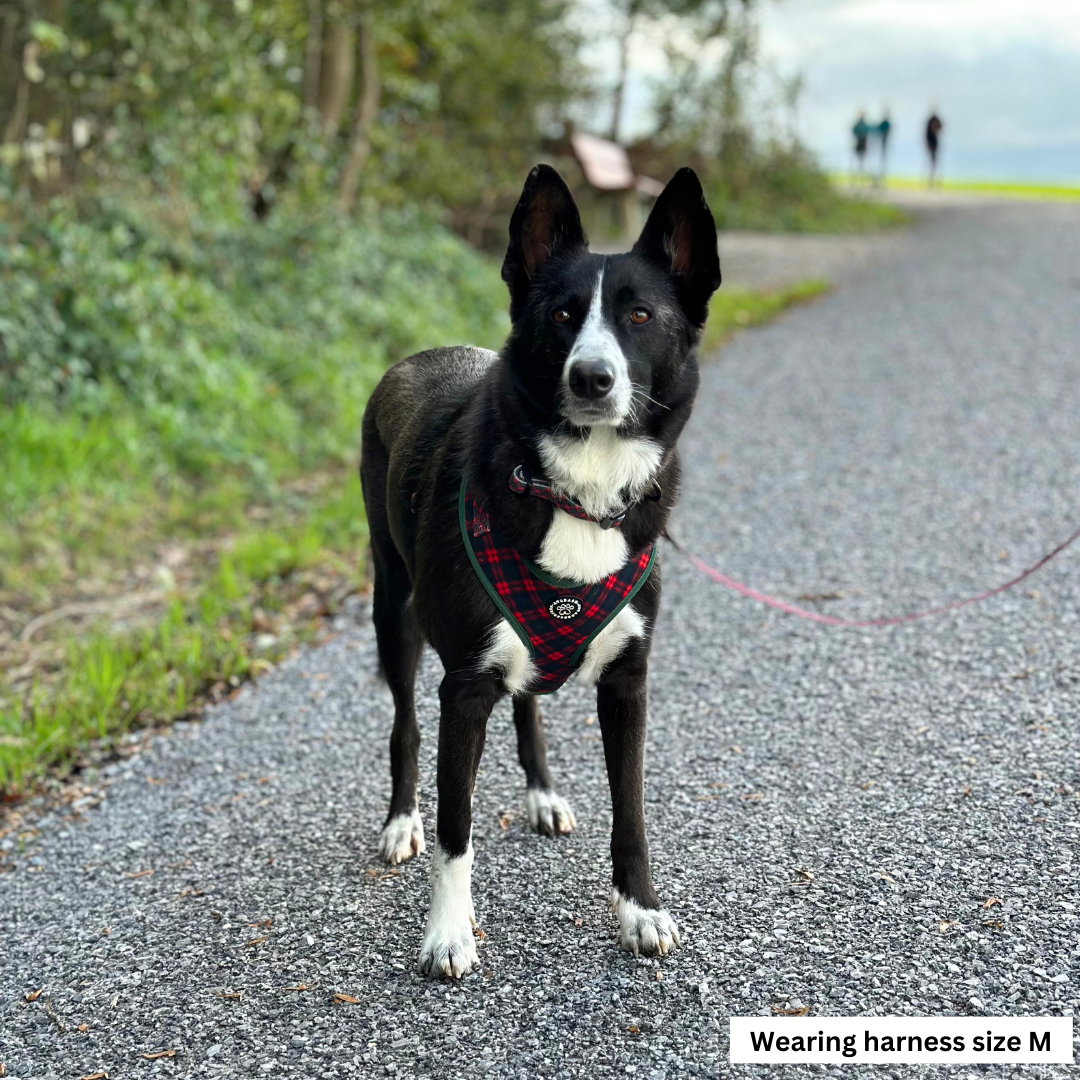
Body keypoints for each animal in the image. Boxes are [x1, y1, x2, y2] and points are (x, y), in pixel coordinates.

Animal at [358, 162, 721, 980]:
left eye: (641, 315)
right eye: (560, 314)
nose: (591, 378)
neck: (579, 493)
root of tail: (417, 356)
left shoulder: (628, 681)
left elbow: (632, 813)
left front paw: (639, 911)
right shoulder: (462, 688)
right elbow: (457, 827)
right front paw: (448, 933)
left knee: (527, 700)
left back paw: (542, 793)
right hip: (394, 608)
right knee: (404, 726)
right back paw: (401, 822)